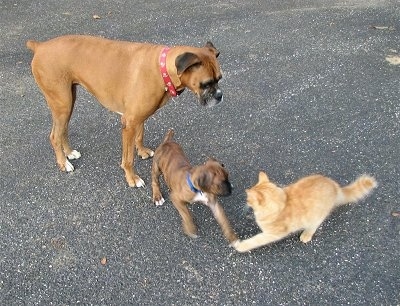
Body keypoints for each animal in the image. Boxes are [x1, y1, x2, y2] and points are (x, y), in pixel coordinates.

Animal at [26, 35, 223, 186]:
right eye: (206, 84)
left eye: (220, 78)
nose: (220, 96)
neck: (162, 69)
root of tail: (40, 46)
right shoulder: (129, 123)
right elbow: (128, 158)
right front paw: (132, 178)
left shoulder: (139, 118)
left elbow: (140, 135)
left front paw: (142, 151)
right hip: (62, 103)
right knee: (54, 136)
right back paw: (63, 163)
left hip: (68, 101)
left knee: (63, 130)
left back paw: (69, 153)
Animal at [233, 171, 376, 252]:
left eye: (248, 199)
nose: (245, 202)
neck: (282, 203)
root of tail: (336, 187)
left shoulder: (273, 234)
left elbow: (255, 240)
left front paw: (241, 246)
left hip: (316, 217)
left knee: (313, 226)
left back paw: (306, 235)